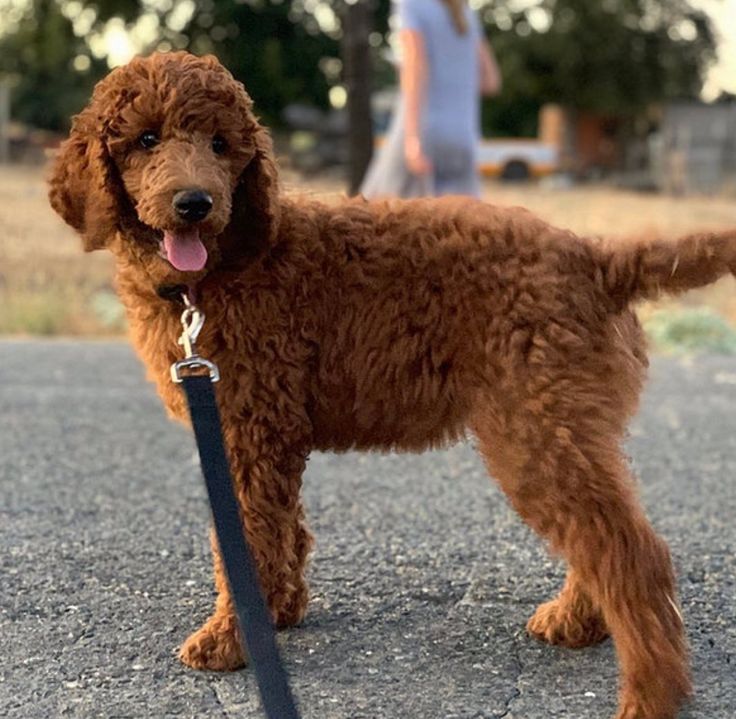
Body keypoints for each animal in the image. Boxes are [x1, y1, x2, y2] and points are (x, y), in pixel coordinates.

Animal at [49, 53, 732, 716]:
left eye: (220, 144)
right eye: (146, 139)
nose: (195, 203)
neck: (226, 265)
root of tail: (598, 259)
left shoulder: (248, 428)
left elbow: (248, 541)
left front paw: (230, 640)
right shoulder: (271, 436)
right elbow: (283, 529)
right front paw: (280, 614)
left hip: (536, 427)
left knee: (631, 554)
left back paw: (649, 694)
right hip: (570, 423)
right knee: (606, 538)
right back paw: (577, 622)